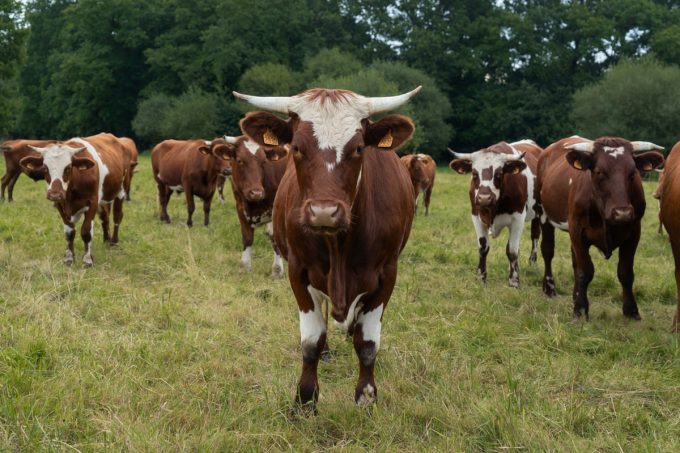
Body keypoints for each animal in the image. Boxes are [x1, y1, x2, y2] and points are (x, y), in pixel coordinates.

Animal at [18, 133, 134, 266]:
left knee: (117, 216)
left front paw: (87, 259)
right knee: (105, 217)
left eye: (68, 167)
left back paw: (114, 242)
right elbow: (69, 232)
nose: (54, 194)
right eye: (45, 167)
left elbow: (86, 231)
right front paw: (69, 257)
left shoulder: (92, 202)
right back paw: (106, 240)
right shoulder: (60, 204)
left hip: (122, 190)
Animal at [221, 135, 288, 277]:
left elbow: (274, 237)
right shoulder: (240, 207)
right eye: (239, 160)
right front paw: (245, 266)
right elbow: (247, 237)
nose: (256, 192)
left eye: (264, 161)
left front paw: (277, 270)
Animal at [234, 86, 420, 412]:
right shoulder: (298, 272)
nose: (323, 212)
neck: (338, 246)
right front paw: (305, 399)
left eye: (358, 148)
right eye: (296, 147)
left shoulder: (387, 275)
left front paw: (366, 397)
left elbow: (367, 342)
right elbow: (311, 339)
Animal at [449, 140, 542, 287]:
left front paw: (514, 281)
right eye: (474, 173)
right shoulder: (476, 216)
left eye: (499, 173)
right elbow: (483, 247)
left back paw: (532, 262)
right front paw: (481, 277)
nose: (484, 198)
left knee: (534, 236)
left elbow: (512, 250)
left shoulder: (518, 218)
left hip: (538, 213)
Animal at [537, 136, 664, 320]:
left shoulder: (634, 233)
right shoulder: (577, 230)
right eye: (600, 172)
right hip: (543, 214)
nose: (622, 213)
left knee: (574, 260)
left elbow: (625, 272)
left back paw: (575, 295)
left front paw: (631, 311)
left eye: (632, 173)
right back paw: (549, 288)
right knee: (548, 250)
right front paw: (581, 309)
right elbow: (585, 271)